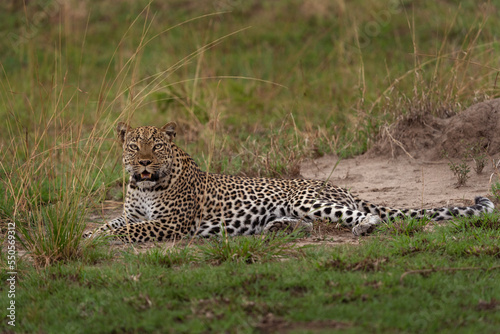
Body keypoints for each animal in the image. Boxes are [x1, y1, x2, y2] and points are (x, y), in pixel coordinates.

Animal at [84, 121, 494, 241]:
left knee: (360, 215)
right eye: (134, 145)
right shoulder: (131, 214)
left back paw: (364, 226)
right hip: (301, 207)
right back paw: (276, 227)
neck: (144, 186)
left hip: (307, 199)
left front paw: (95, 240)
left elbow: (128, 232)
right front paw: (88, 234)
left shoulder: (171, 223)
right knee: (312, 223)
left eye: (155, 146)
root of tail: (342, 186)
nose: (144, 162)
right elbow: (112, 223)